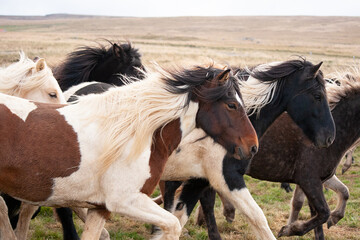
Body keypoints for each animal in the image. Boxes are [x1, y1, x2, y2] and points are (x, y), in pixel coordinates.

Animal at [0, 63, 258, 240]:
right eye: (232, 105)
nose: (253, 146)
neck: (135, 134)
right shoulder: (126, 201)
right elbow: (173, 225)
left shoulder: (100, 209)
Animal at [155, 58, 338, 240]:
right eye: (318, 96)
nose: (329, 137)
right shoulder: (229, 178)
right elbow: (258, 219)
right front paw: (289, 229)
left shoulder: (198, 181)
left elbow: (179, 216)